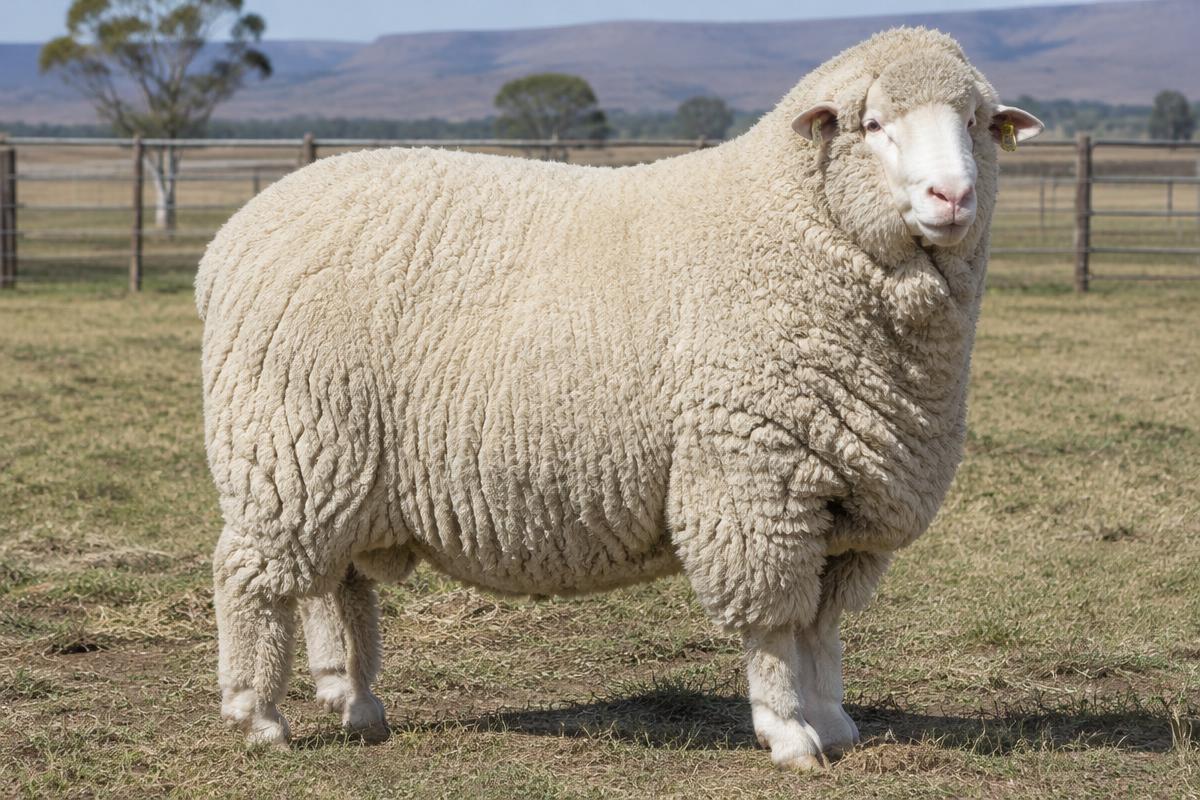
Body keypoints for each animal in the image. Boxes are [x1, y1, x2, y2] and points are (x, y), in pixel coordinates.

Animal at [196, 26, 1042, 768]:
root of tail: (230, 239)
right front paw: (789, 735)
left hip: (334, 463)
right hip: (287, 444)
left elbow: (822, 631)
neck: (795, 226)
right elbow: (776, 628)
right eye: (873, 125)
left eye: (976, 123)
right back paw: (257, 716)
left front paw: (833, 722)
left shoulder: (845, 498)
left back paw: (355, 703)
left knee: (332, 584)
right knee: (248, 575)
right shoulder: (753, 479)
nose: (952, 195)